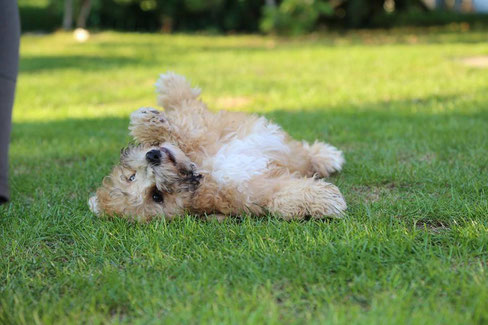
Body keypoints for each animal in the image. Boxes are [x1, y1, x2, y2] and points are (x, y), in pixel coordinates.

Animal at [88, 72, 346, 221]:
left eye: (131, 176)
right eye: (156, 196)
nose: (152, 157)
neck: (203, 170)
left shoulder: (202, 130)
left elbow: (182, 125)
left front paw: (149, 121)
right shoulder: (252, 190)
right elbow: (281, 195)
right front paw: (326, 199)